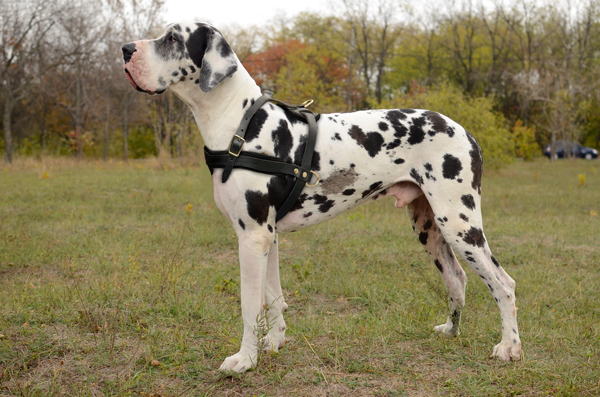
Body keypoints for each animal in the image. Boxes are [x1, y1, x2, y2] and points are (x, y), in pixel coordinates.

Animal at [122, 21, 520, 372]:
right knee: (457, 278)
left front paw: (245, 360)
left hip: (459, 224)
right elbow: (273, 297)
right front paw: (274, 343)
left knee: (503, 283)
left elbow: (249, 306)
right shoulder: (268, 238)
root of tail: (465, 132)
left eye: (173, 38)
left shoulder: (251, 237)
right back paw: (451, 330)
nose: (125, 49)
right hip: (430, 227)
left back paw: (509, 347)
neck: (241, 124)